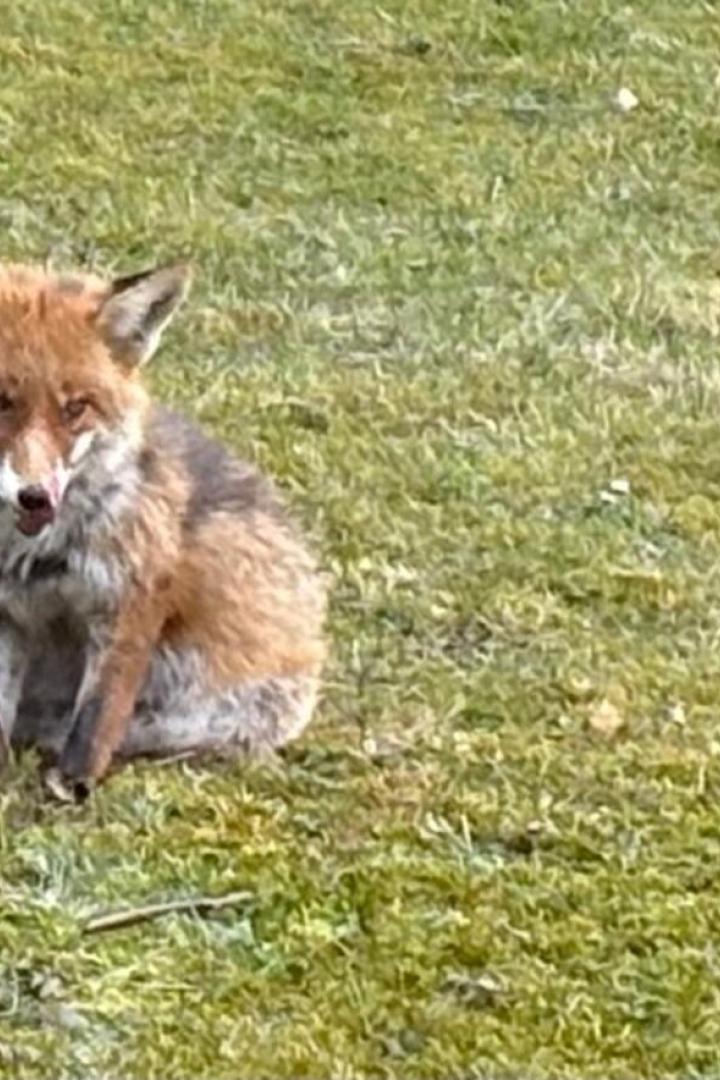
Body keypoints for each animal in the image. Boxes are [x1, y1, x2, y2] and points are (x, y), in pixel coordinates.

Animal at [0, 262, 327, 801]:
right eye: (2, 403)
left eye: (76, 408)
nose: (35, 496)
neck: (31, 556)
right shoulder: (7, 614)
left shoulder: (129, 598)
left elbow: (96, 719)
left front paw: (72, 786)